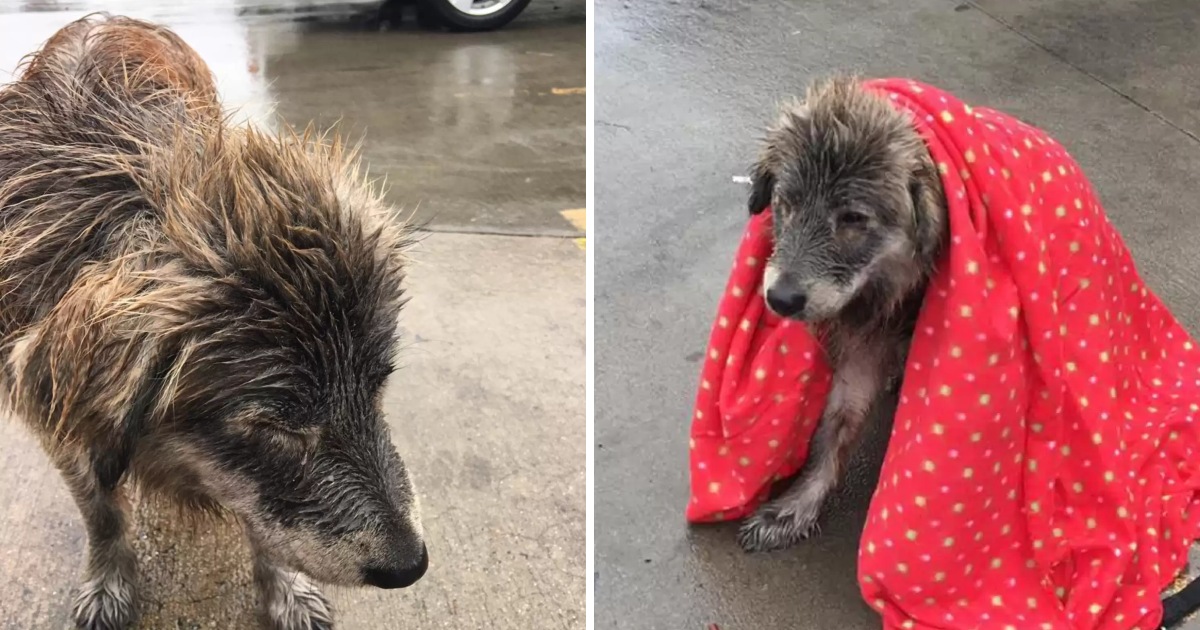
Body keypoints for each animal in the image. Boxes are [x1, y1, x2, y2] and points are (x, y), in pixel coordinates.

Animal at [0, 14, 429, 628]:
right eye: (275, 428)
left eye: (377, 387)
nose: (412, 565)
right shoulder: (59, 420)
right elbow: (101, 512)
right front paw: (108, 583)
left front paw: (287, 589)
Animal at [734, 77, 950, 549]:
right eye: (787, 202)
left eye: (852, 218)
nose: (781, 298)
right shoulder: (862, 342)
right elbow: (838, 423)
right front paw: (797, 505)